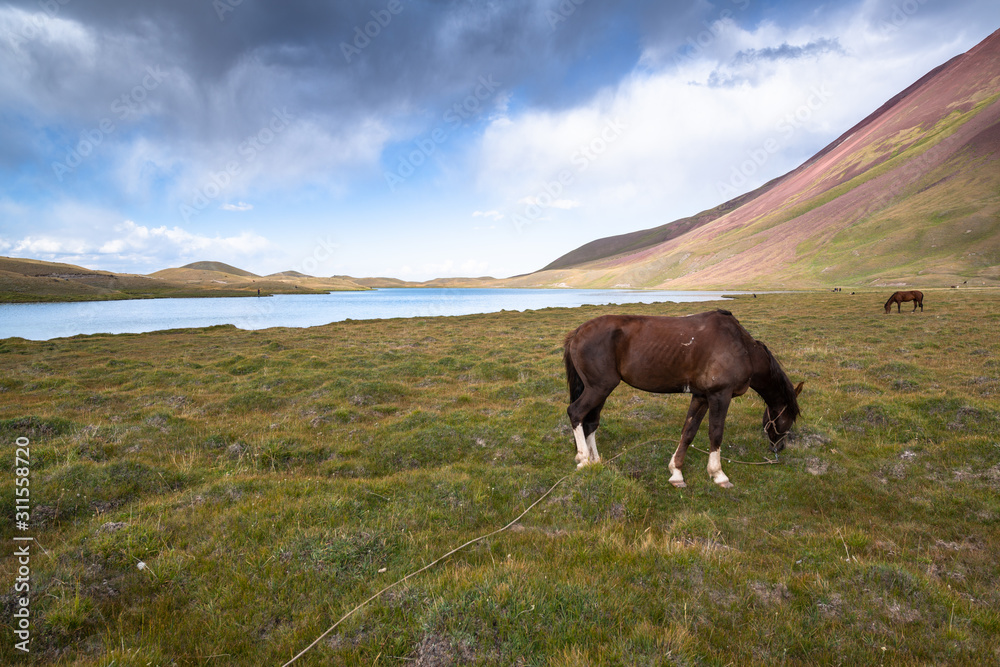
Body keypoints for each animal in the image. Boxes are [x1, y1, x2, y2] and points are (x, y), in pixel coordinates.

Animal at [564, 310, 804, 488]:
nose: (780, 448)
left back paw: (595, 460)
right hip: (599, 388)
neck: (742, 348)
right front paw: (718, 474)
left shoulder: (701, 396)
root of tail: (578, 332)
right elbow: (716, 433)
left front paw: (676, 471)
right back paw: (583, 459)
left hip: (600, 390)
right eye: (790, 418)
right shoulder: (720, 395)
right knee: (576, 413)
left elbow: (688, 432)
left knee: (591, 421)